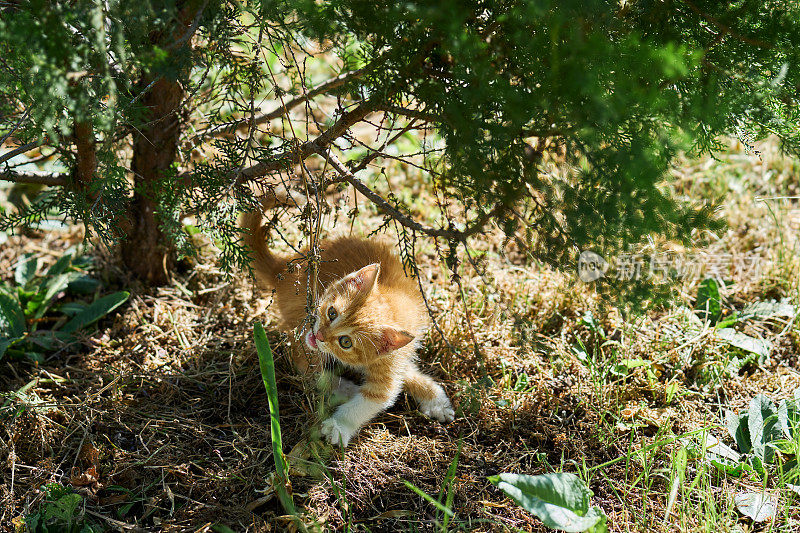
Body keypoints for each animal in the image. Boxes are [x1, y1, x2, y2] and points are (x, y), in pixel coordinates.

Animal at [241, 208, 454, 444]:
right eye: (332, 312)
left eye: (345, 342)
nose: (320, 335)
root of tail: (284, 270)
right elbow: (375, 396)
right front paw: (339, 425)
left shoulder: (394, 358)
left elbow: (385, 390)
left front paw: (435, 400)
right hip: (300, 317)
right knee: (305, 363)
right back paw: (346, 389)